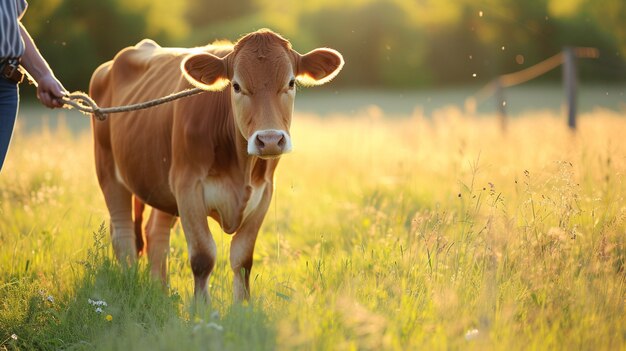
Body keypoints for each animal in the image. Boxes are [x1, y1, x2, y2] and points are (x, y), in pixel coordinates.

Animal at [89, 28, 342, 302]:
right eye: (236, 86)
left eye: (291, 82)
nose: (270, 140)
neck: (240, 169)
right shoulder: (188, 188)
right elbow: (203, 257)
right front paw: (201, 308)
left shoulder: (264, 192)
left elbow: (242, 259)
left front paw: (242, 306)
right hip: (108, 172)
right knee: (123, 234)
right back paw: (129, 283)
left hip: (161, 185)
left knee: (155, 232)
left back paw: (160, 291)